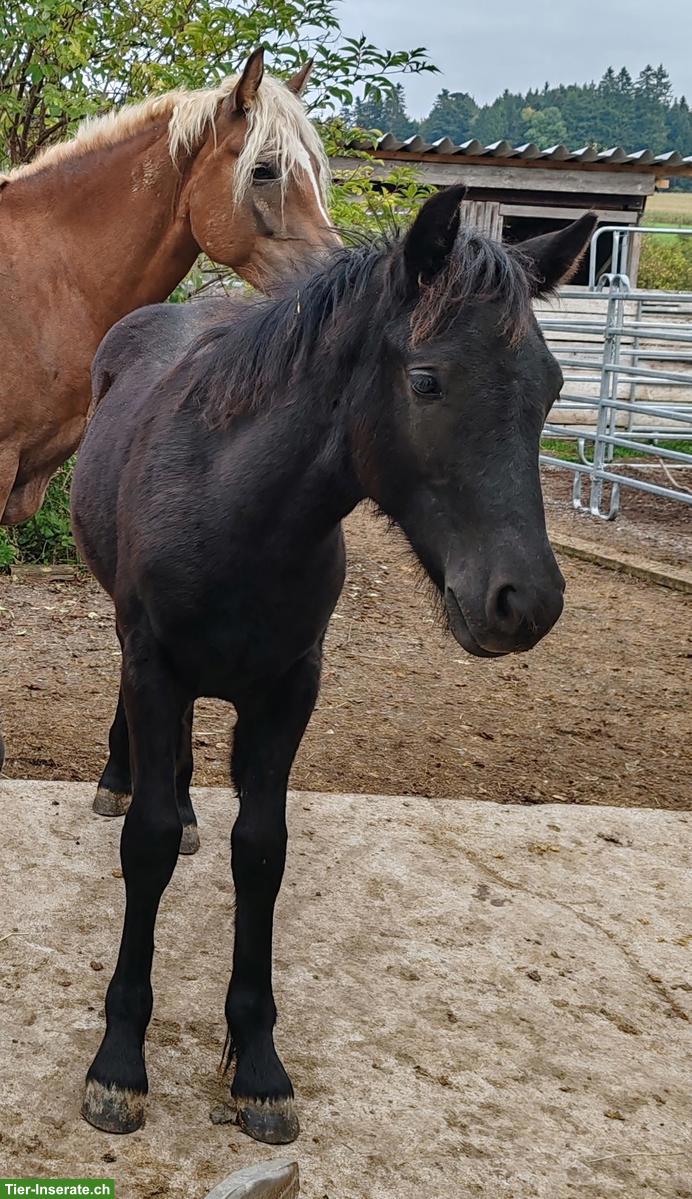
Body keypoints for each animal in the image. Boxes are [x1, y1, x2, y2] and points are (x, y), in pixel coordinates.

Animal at [71, 185, 596, 1145]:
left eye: (551, 390)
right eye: (426, 379)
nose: (525, 602)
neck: (234, 507)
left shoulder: (291, 689)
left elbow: (261, 851)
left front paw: (259, 1067)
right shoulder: (154, 663)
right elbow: (148, 844)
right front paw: (119, 1059)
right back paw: (121, 776)